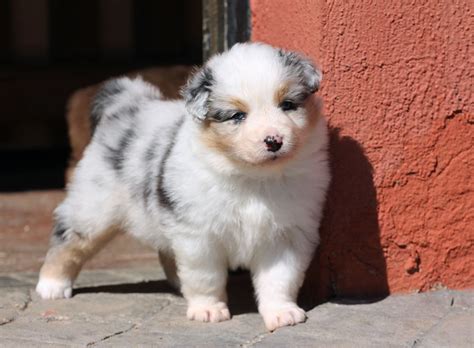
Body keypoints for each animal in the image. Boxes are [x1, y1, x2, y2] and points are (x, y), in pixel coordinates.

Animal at [37, 42, 330, 330]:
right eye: (237, 116)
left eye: (287, 105)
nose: (273, 141)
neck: (254, 178)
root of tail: (129, 104)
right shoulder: (199, 234)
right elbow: (205, 277)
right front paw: (208, 310)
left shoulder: (286, 235)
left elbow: (279, 278)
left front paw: (282, 313)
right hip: (94, 207)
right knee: (68, 241)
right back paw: (51, 286)